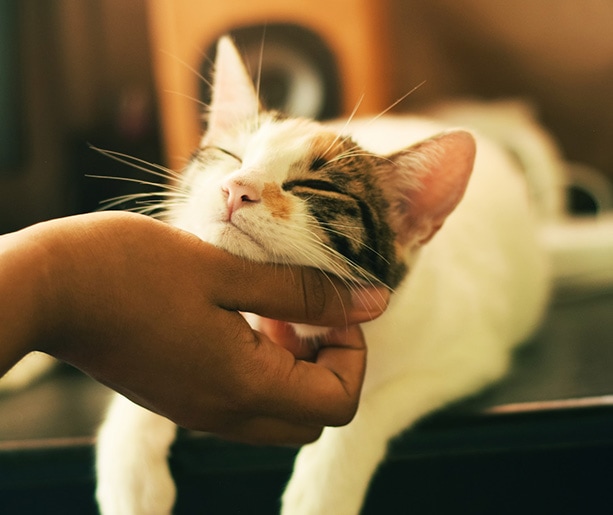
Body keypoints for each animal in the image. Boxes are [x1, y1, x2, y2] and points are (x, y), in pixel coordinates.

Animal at [91, 34, 612, 512]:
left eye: (313, 186)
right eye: (229, 156)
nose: (235, 187)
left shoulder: (468, 356)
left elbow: (367, 409)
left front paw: (321, 490)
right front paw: (129, 474)